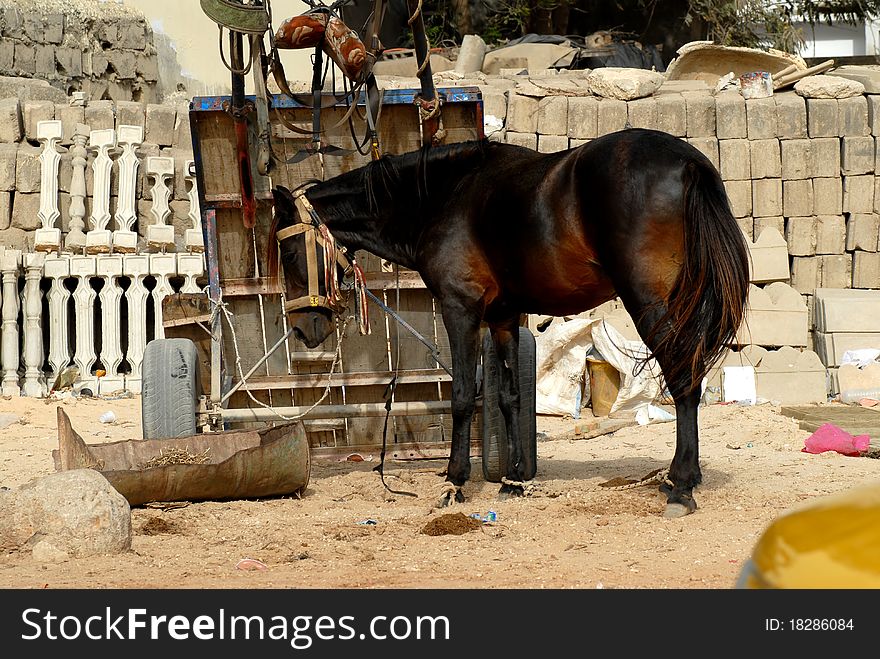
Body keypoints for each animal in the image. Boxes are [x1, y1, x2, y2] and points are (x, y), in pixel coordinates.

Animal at [270, 129, 748, 520]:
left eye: (289, 253)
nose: (304, 329)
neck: (444, 198)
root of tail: (687, 162)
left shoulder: (460, 310)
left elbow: (463, 396)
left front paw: (454, 481)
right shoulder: (502, 318)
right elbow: (510, 397)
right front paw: (514, 478)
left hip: (651, 304)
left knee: (684, 380)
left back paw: (681, 485)